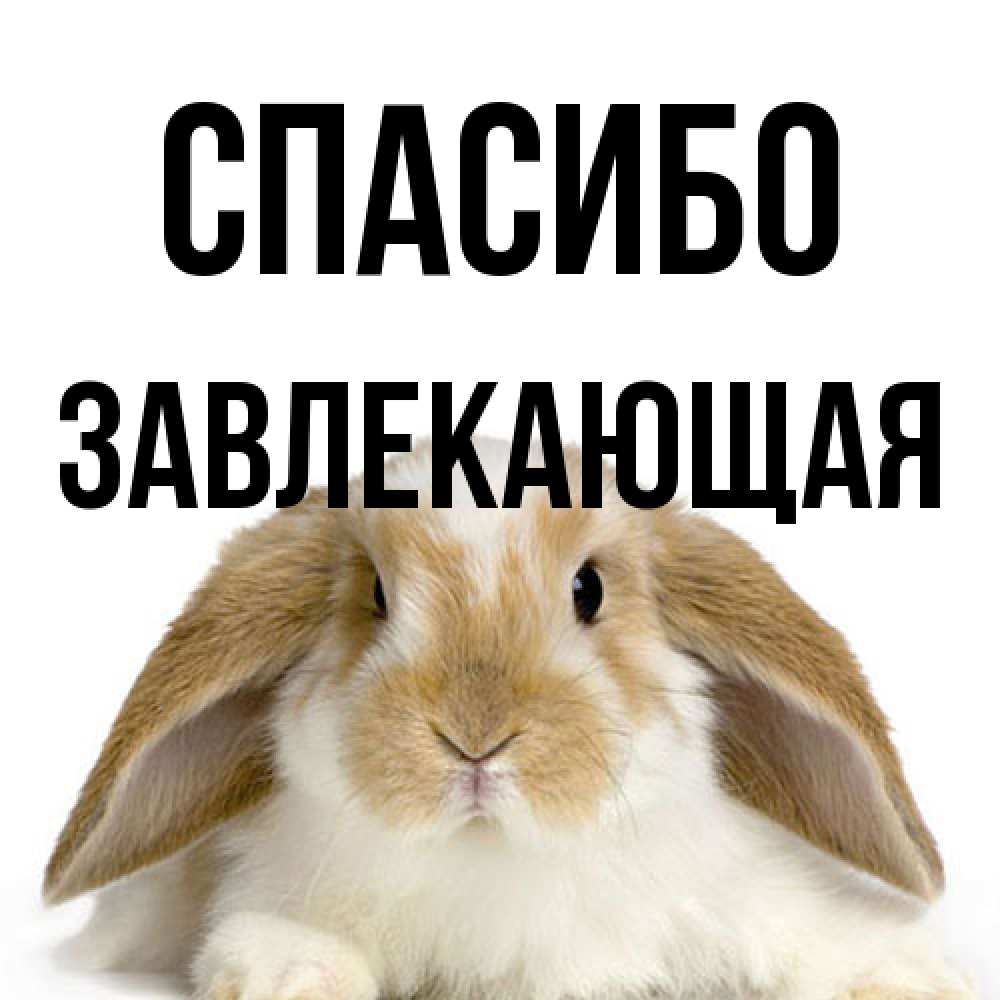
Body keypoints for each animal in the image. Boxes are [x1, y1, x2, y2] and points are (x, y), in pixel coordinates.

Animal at [45, 438, 975, 1000]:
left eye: (589, 589)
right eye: (376, 596)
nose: (475, 737)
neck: (494, 857)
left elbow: (820, 940)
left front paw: (910, 978)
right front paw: (290, 977)